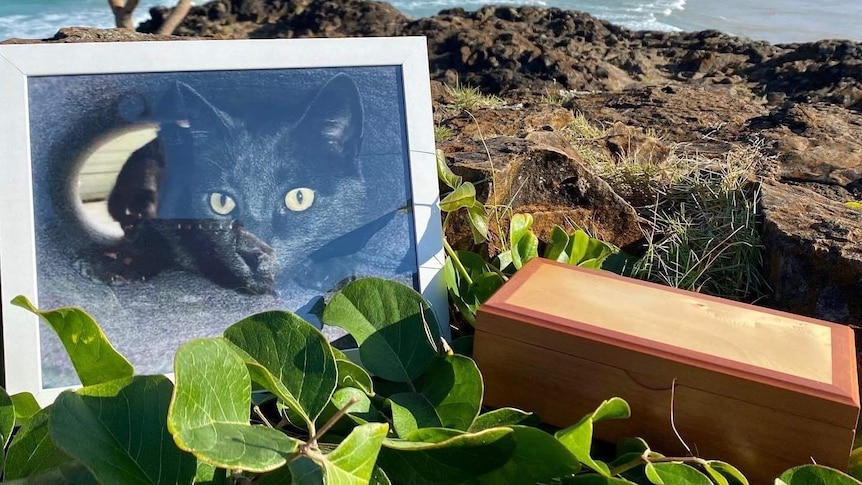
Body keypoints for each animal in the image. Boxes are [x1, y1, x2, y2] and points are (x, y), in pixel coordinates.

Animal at [85, 73, 372, 294]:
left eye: (299, 198)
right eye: (221, 201)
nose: (251, 253)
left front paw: (332, 266)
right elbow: (155, 233)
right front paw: (118, 259)